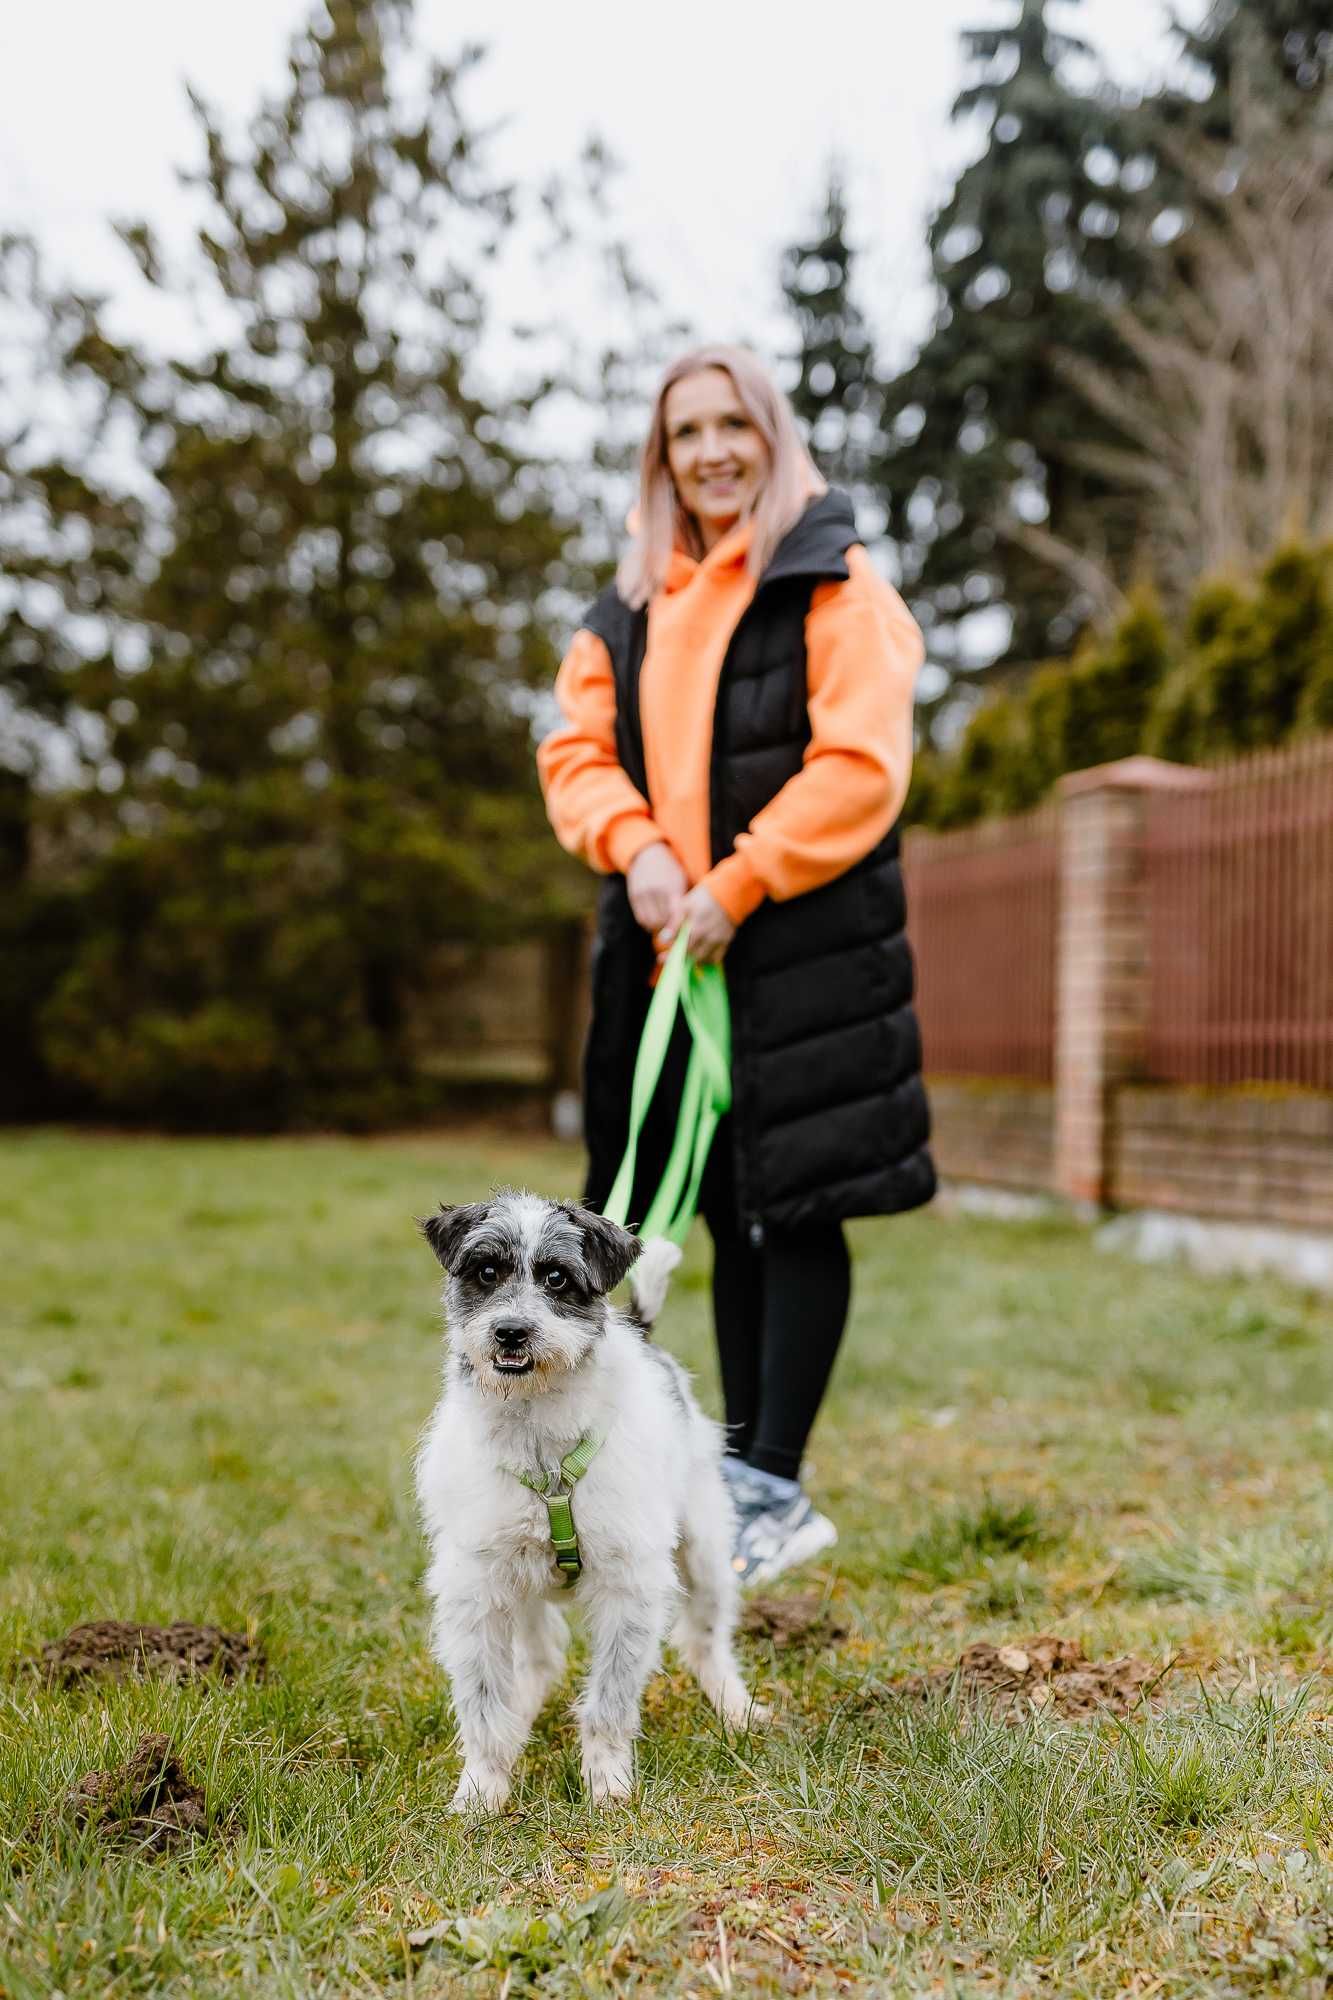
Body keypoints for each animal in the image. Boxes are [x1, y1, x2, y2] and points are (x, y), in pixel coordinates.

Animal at [416, 1184, 768, 1816]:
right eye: (486, 1272)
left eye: (557, 1278)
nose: (511, 1332)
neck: (541, 1443)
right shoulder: (476, 1587)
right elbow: (483, 1702)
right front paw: (483, 1790)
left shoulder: (630, 1585)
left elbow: (609, 1699)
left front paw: (607, 1785)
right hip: (523, 1587)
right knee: (539, 1657)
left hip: (704, 1552)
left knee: (706, 1637)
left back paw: (737, 1708)